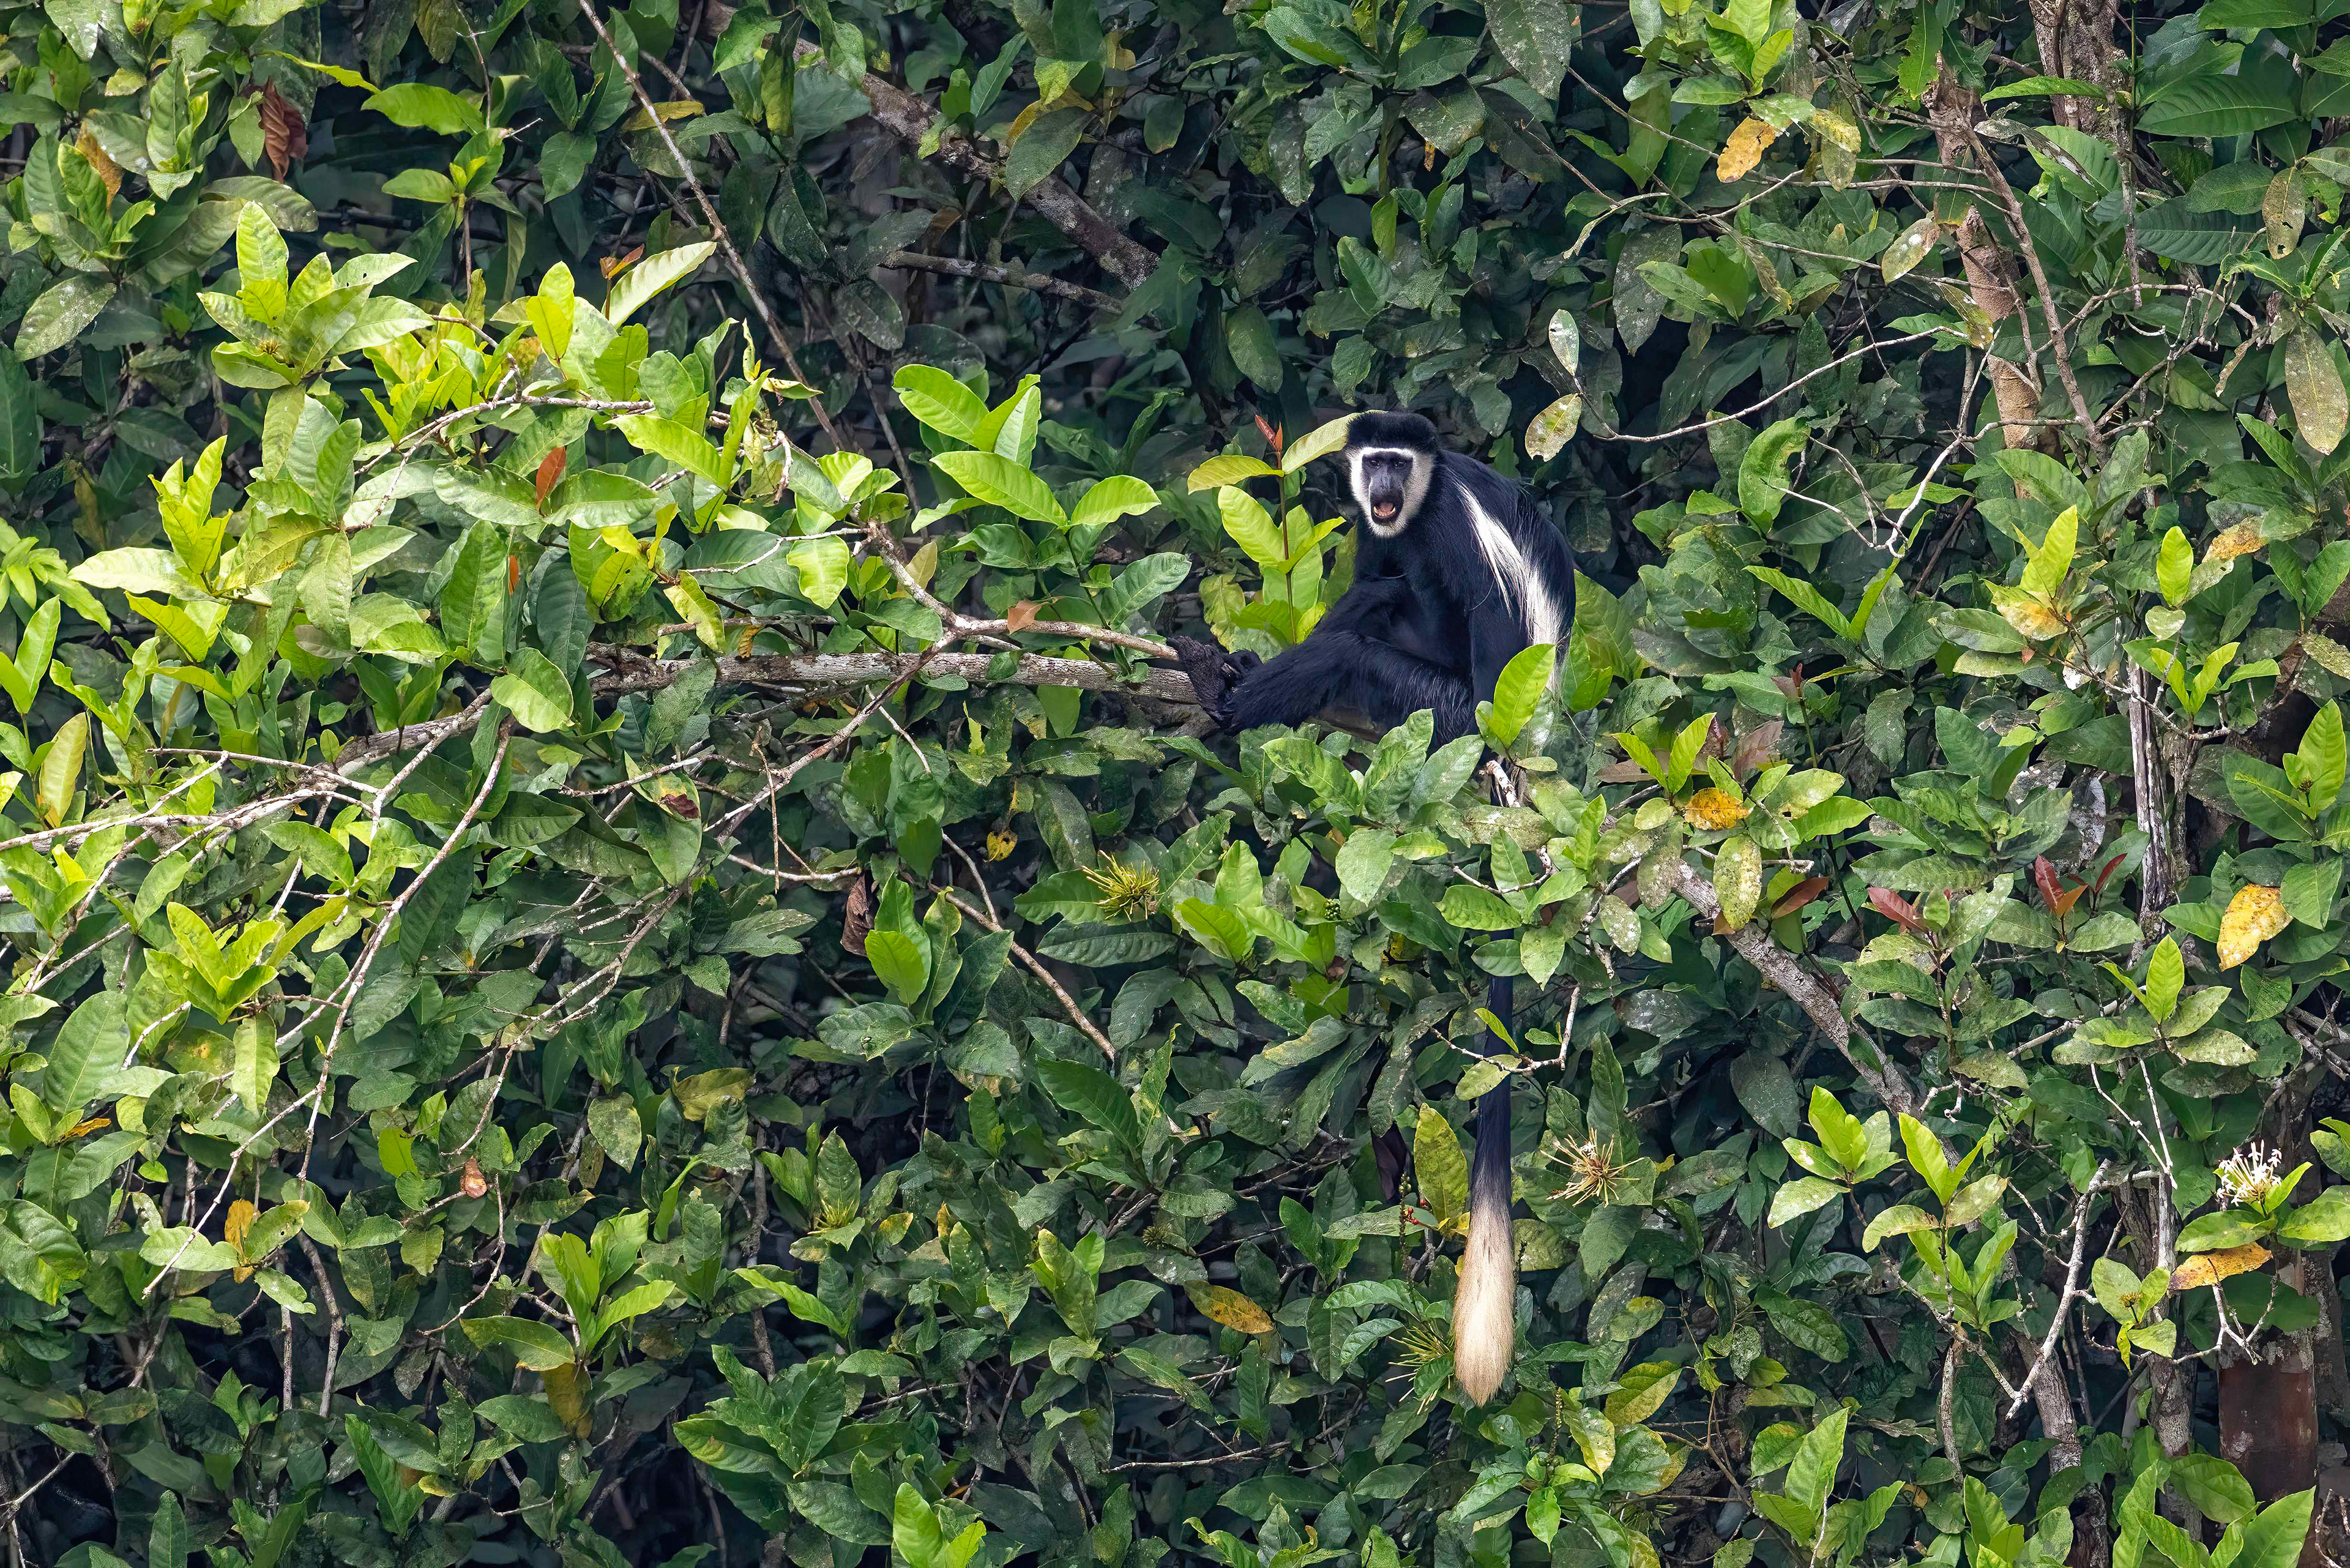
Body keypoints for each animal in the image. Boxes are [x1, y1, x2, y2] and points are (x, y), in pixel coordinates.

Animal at [1171, 410, 1578, 1406]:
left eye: (1401, 463)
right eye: (1372, 464)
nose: (1386, 486)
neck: (1421, 503)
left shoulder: (1453, 532)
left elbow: (1473, 609)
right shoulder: (1376, 527)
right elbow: (1365, 576)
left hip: (1444, 713)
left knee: (1378, 639)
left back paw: (1228, 697)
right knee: (1379, 598)